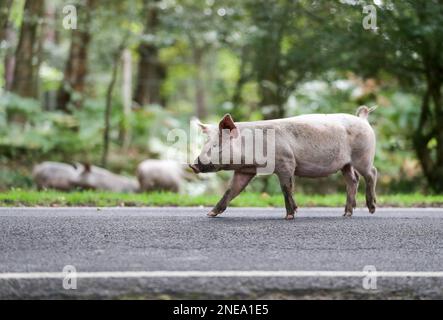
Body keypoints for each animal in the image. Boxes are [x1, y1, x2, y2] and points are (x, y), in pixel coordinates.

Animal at [190, 107, 378, 220]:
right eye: (205, 144)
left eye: (216, 146)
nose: (193, 165)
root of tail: (363, 119)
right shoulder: (245, 171)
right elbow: (231, 191)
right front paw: (210, 214)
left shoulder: (286, 162)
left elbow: (286, 188)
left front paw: (289, 216)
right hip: (346, 164)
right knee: (353, 180)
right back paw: (346, 214)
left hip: (363, 156)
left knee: (372, 173)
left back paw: (371, 208)